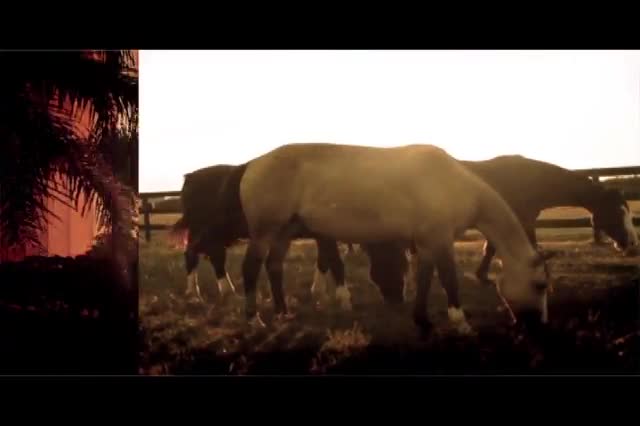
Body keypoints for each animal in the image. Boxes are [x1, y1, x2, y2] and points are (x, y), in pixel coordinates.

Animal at [238, 143, 552, 332]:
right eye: (540, 285)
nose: (540, 324)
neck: (452, 183)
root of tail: (252, 165)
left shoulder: (426, 243)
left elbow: (425, 278)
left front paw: (422, 319)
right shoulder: (440, 240)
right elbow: (448, 278)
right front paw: (460, 321)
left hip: (284, 232)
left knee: (274, 267)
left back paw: (282, 312)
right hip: (265, 232)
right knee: (251, 268)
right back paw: (253, 319)